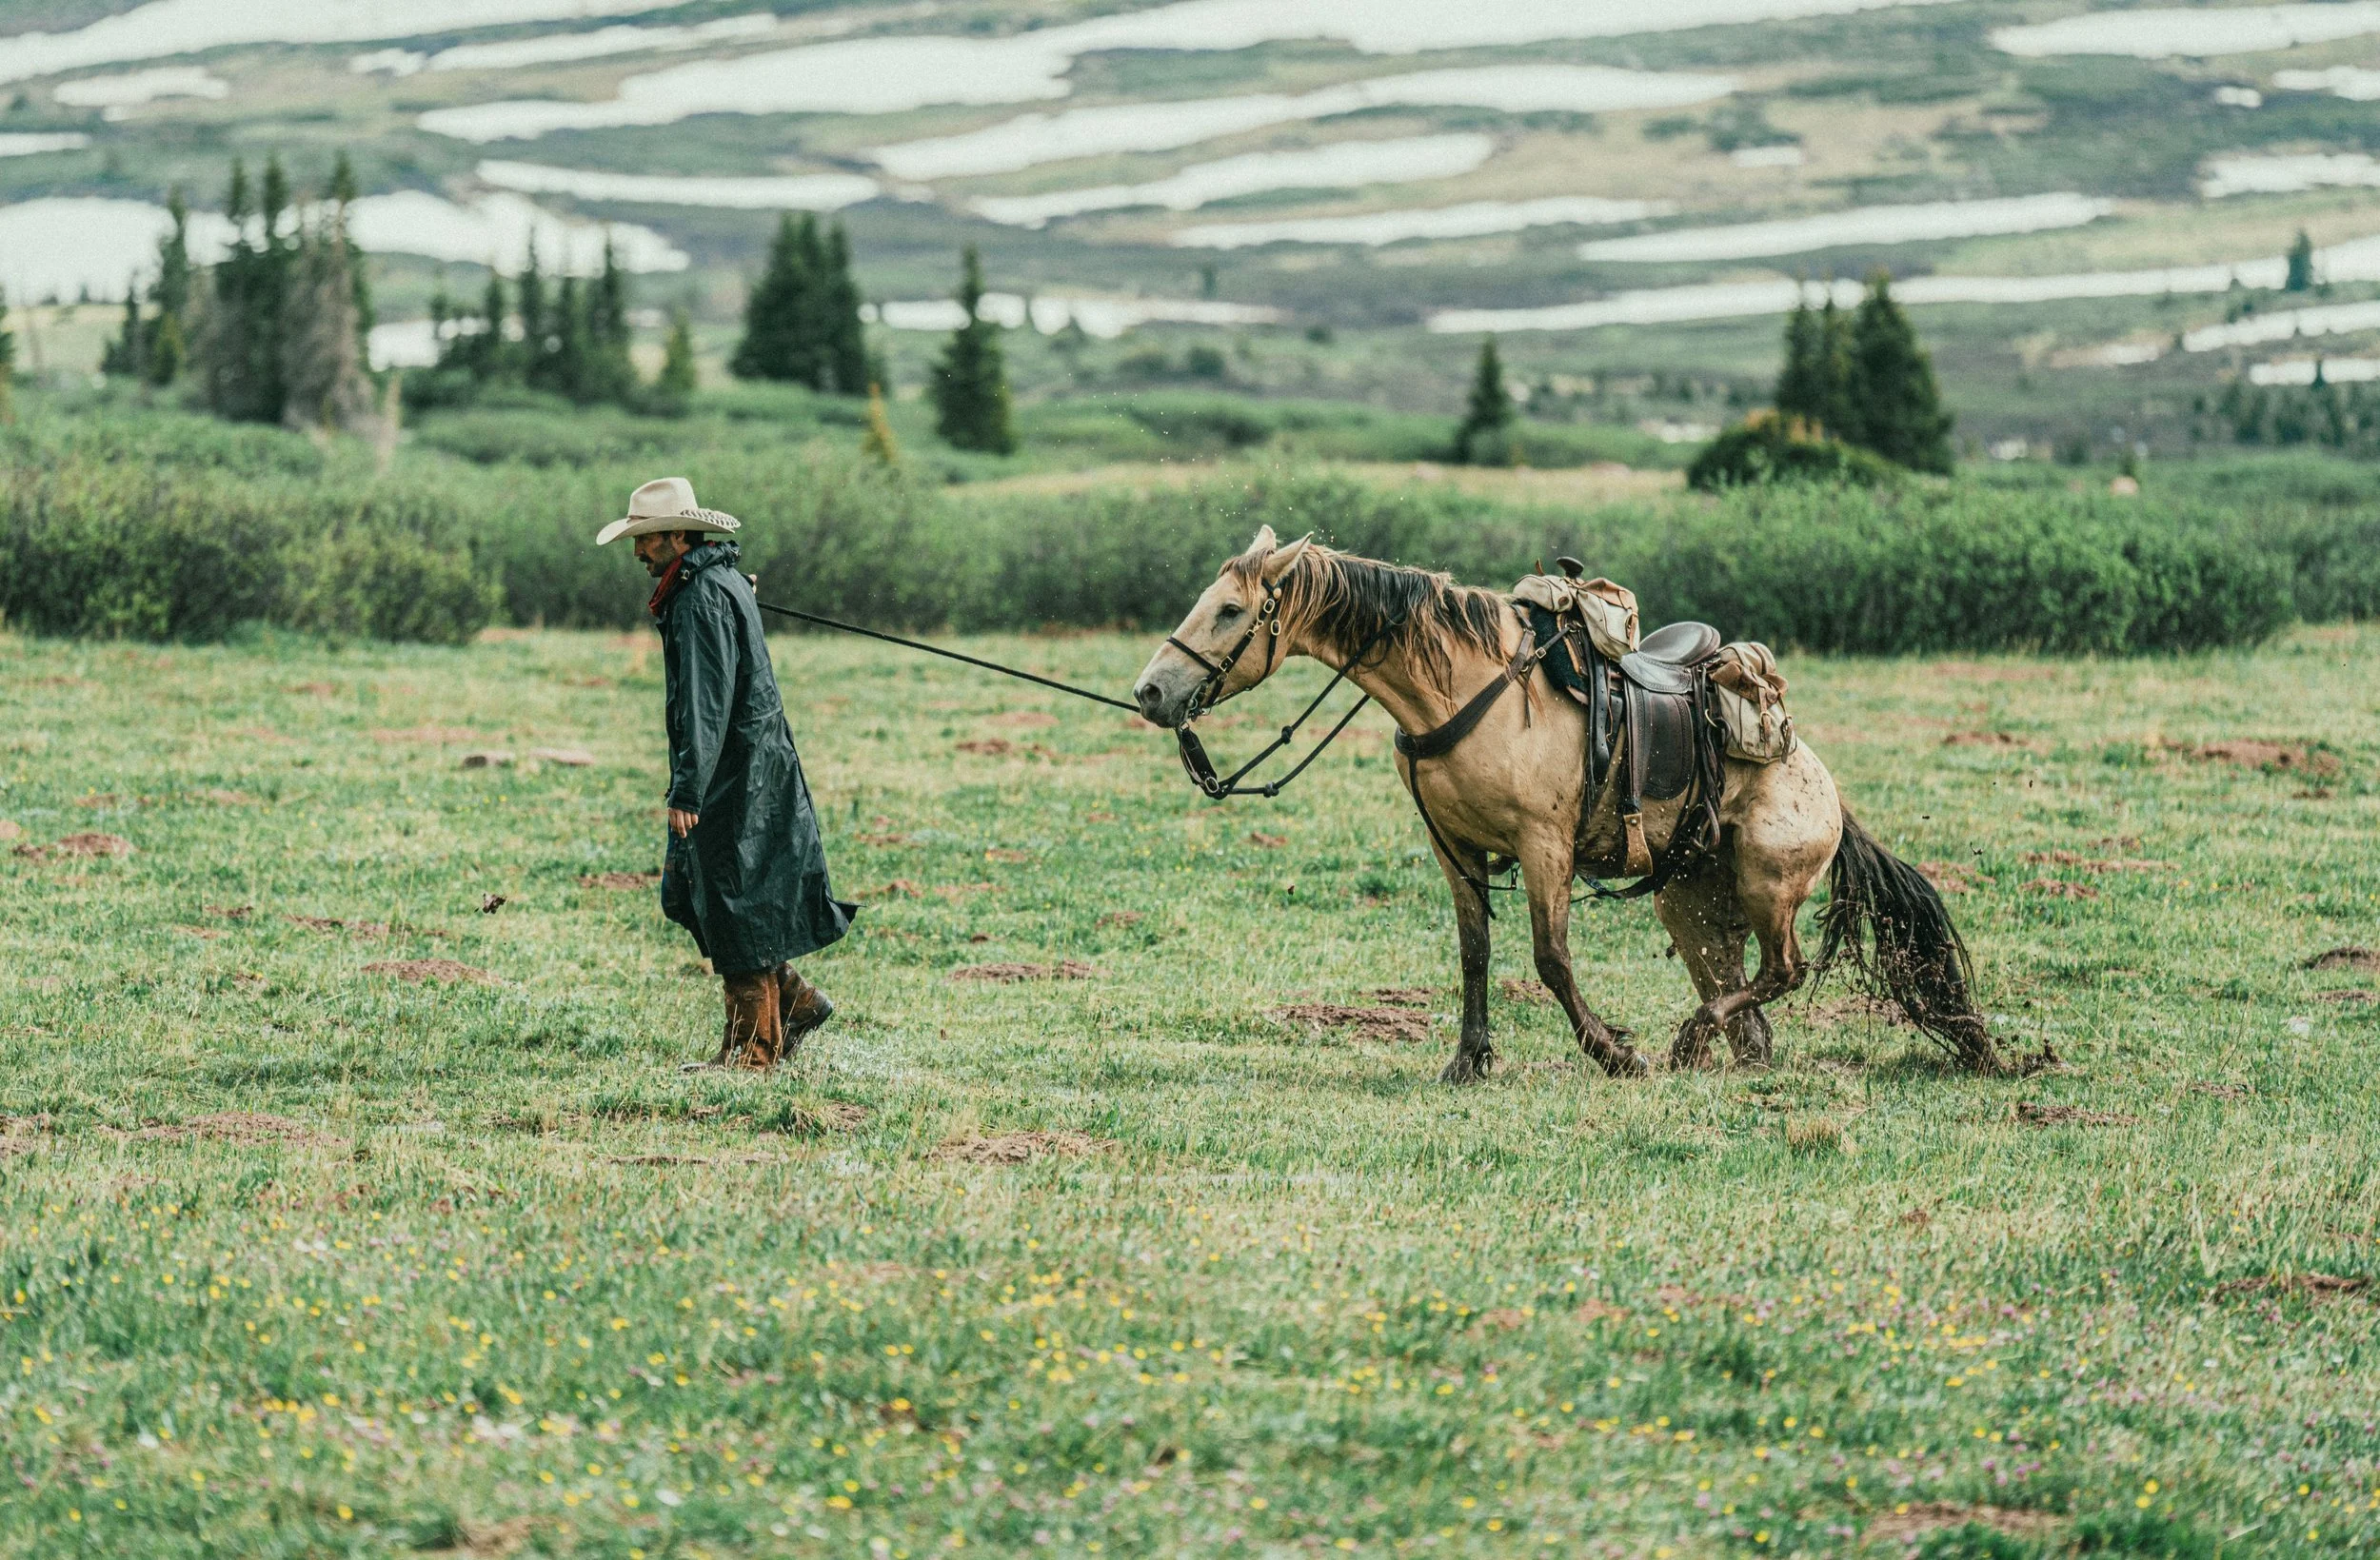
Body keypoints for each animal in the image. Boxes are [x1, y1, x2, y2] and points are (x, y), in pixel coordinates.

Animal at [1132, 527, 1996, 1082]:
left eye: (1232, 610)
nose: (1150, 691)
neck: (1463, 685)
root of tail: (1822, 785)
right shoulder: (1456, 848)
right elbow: (1475, 952)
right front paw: (1468, 1058)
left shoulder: (1543, 846)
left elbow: (1550, 958)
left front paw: (1614, 1051)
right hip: (1691, 897)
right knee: (1740, 995)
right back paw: (1715, 1051)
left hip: (1768, 884)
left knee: (1781, 969)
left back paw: (1683, 1043)